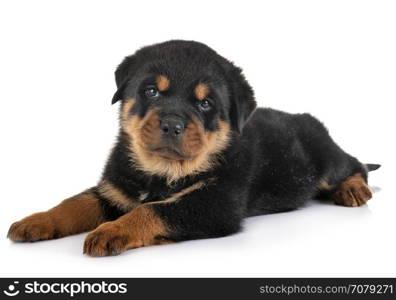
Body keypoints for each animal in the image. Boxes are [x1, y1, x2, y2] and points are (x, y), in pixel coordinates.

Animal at [7, 39, 380, 255]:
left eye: (205, 103)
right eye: (151, 91)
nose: (172, 124)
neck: (159, 172)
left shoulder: (214, 203)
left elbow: (152, 210)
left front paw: (111, 230)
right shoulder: (113, 190)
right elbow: (74, 204)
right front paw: (35, 221)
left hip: (323, 156)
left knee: (354, 164)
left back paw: (353, 190)